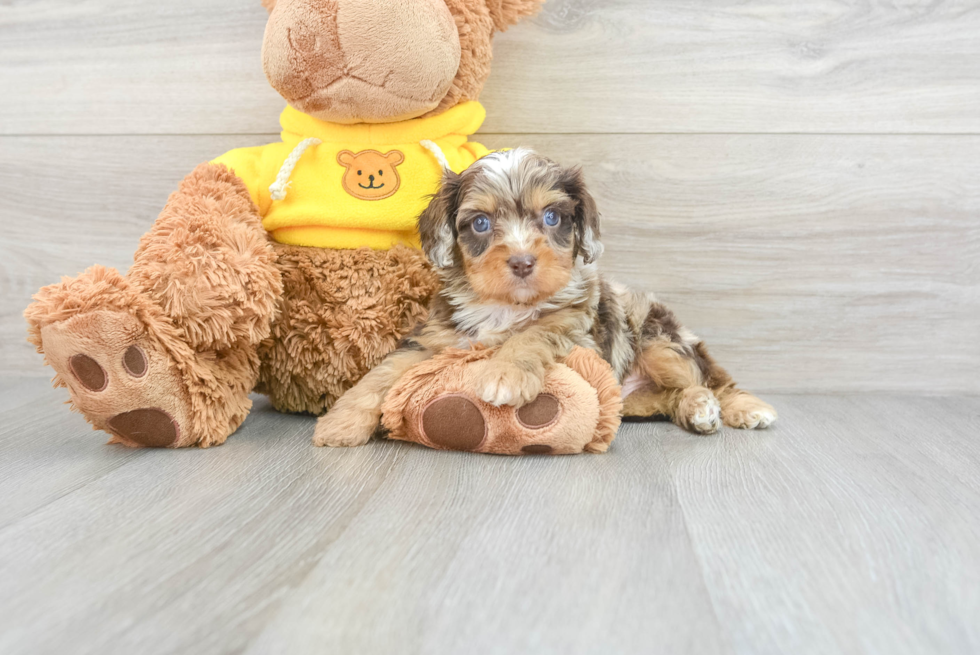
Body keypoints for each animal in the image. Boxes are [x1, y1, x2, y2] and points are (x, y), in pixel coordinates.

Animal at [318, 148, 776, 446]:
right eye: (480, 223)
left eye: (553, 217)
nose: (522, 261)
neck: (505, 305)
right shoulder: (435, 338)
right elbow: (382, 372)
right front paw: (341, 422)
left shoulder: (576, 320)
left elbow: (535, 332)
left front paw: (505, 374)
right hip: (637, 396)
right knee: (671, 396)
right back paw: (696, 410)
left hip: (661, 339)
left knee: (713, 379)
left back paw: (739, 408)